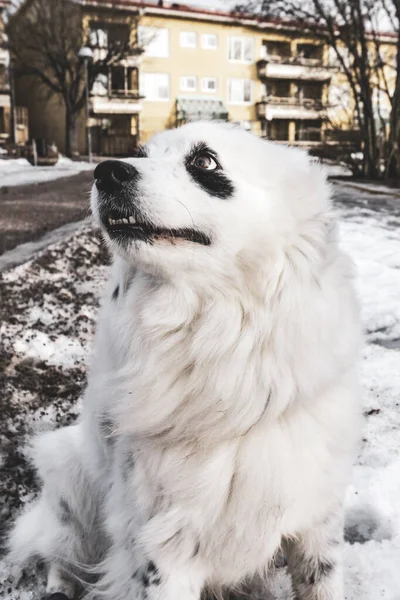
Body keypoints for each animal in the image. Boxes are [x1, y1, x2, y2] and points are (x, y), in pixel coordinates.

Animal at [7, 123, 362, 600]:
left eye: (204, 161)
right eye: (140, 155)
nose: (107, 171)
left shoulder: (316, 520)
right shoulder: (164, 546)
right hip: (68, 474)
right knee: (61, 554)